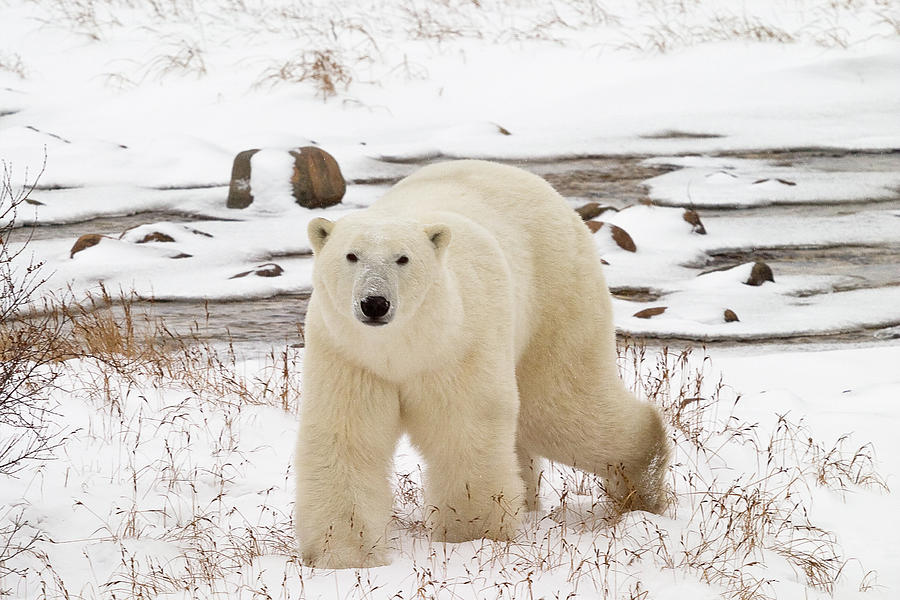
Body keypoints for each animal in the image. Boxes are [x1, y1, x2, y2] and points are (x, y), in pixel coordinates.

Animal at [296, 159, 668, 568]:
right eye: (351, 255)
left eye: (403, 258)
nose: (374, 303)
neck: (405, 347)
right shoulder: (349, 355)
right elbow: (347, 438)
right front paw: (344, 553)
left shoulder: (458, 348)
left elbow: (463, 431)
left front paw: (472, 536)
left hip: (554, 296)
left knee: (559, 408)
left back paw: (642, 481)